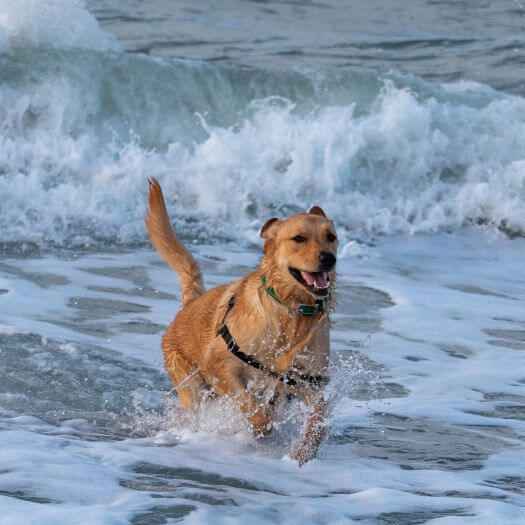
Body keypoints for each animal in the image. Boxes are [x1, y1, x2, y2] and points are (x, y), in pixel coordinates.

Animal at [145, 178, 338, 464]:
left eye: (331, 237)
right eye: (299, 238)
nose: (329, 258)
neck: (291, 314)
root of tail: (191, 302)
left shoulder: (304, 381)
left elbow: (319, 417)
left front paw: (304, 452)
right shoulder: (220, 365)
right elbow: (249, 404)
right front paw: (259, 427)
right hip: (190, 385)